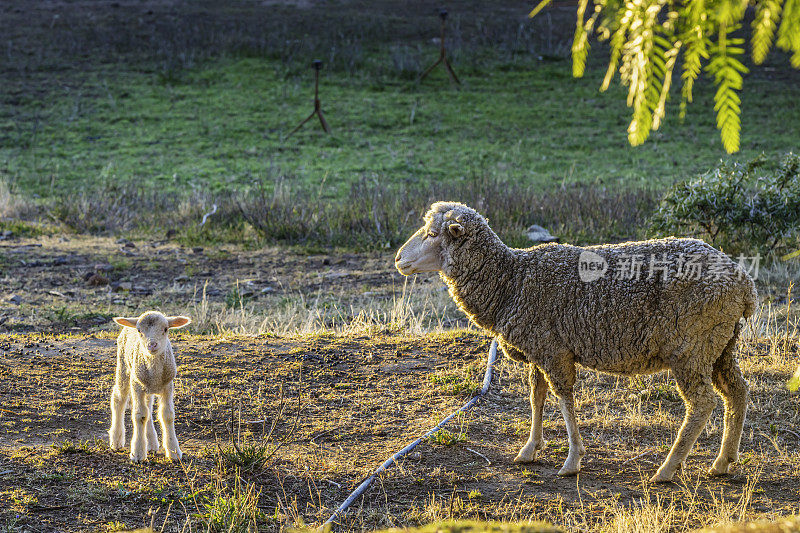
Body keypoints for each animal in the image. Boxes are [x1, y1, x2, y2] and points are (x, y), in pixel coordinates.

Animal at [108, 312, 191, 462]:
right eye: (139, 330)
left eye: (165, 329)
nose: (152, 345)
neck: (155, 374)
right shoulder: (137, 385)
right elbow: (140, 415)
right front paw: (138, 453)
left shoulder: (168, 386)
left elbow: (167, 415)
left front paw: (174, 452)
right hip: (123, 367)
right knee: (118, 398)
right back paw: (116, 439)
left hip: (146, 386)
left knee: (148, 406)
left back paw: (151, 442)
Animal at [394, 201, 756, 482]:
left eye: (432, 234)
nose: (398, 259)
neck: (510, 280)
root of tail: (744, 284)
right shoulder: (539, 347)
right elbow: (537, 397)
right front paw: (530, 449)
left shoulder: (554, 351)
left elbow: (564, 400)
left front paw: (572, 460)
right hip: (721, 344)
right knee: (736, 392)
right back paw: (723, 461)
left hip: (690, 346)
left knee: (702, 403)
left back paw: (667, 469)